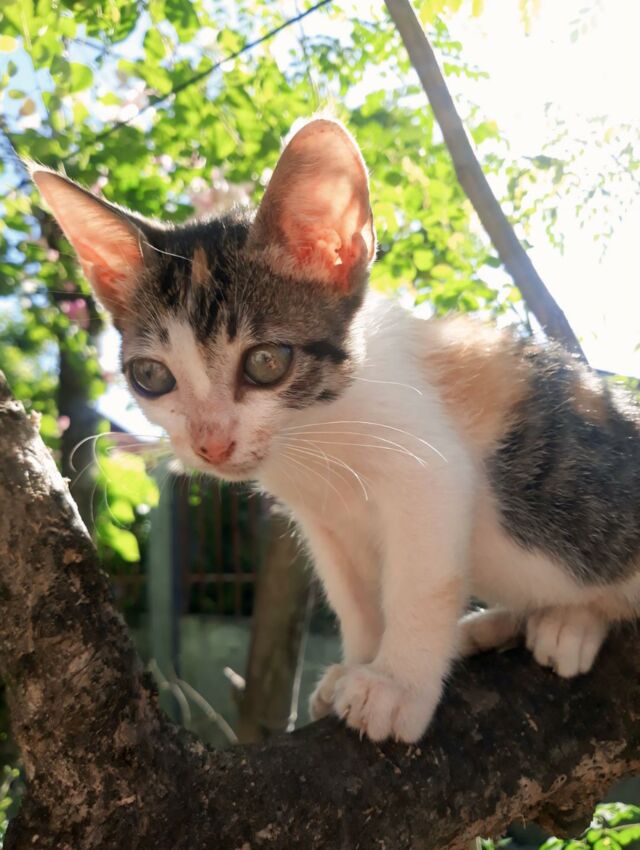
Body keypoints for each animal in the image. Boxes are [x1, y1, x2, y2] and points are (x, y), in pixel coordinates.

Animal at [30, 118, 640, 744]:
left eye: (266, 362)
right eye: (152, 376)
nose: (212, 443)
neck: (314, 430)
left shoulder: (431, 469)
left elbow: (421, 584)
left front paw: (396, 684)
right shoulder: (323, 521)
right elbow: (353, 596)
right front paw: (360, 663)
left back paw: (569, 623)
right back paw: (495, 625)